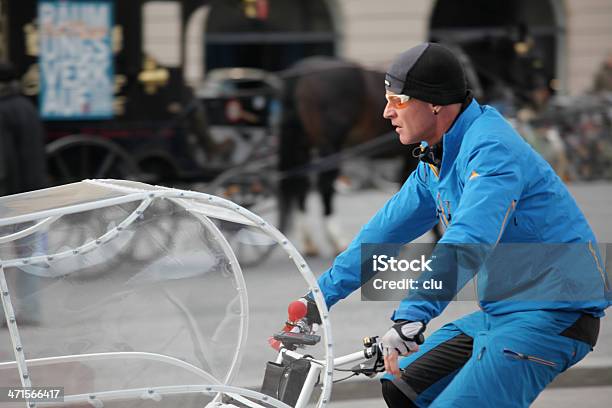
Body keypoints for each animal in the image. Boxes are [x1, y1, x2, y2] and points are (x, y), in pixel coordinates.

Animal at [278, 57, 420, 255]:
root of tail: (304, 68)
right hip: (330, 147)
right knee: (325, 185)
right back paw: (336, 237)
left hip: (302, 145)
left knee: (300, 184)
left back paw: (309, 241)